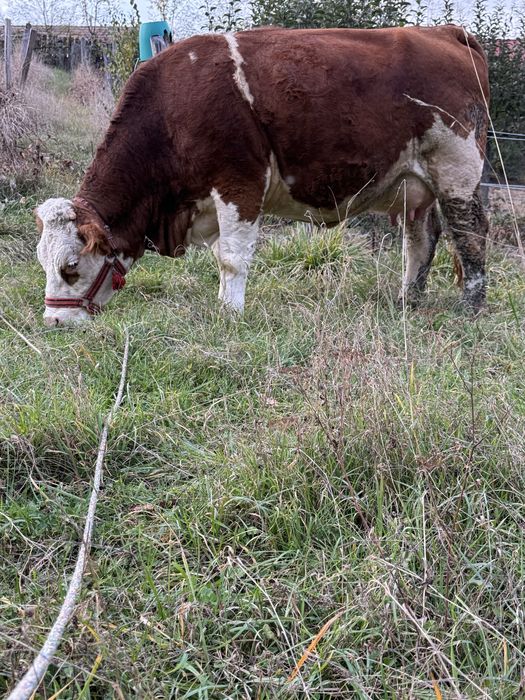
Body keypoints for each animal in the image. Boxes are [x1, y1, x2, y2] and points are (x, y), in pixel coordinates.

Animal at [36, 24, 489, 326]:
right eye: (43, 262)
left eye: (71, 266)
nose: (54, 321)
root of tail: (445, 32)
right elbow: (222, 258)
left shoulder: (239, 184)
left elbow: (232, 259)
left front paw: (230, 314)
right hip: (415, 183)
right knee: (421, 238)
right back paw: (407, 300)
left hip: (457, 169)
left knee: (470, 235)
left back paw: (471, 306)